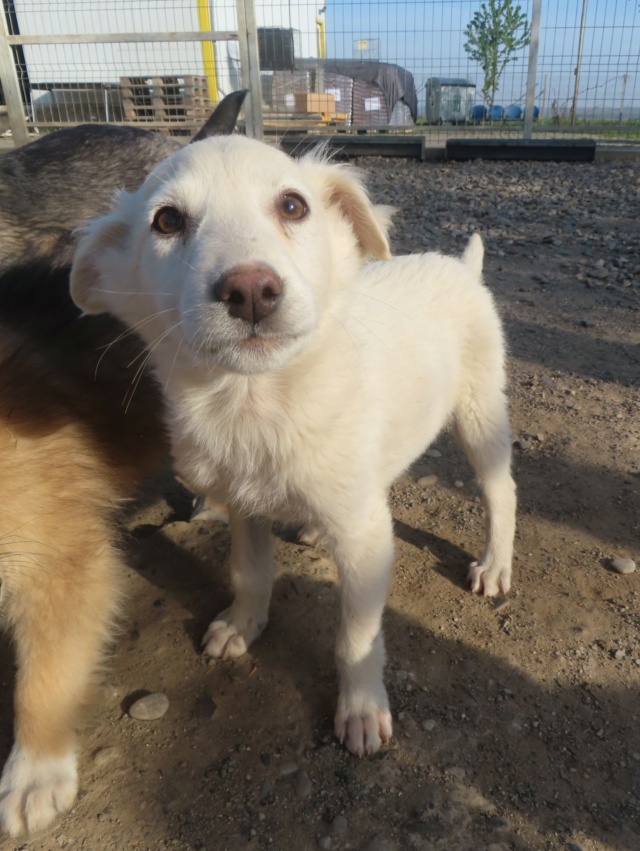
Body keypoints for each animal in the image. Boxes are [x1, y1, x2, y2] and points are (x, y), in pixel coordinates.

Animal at [72, 136, 516, 756]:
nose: (250, 290)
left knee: (502, 488)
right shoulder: (242, 504)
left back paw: (495, 563)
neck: (255, 404)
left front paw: (360, 709)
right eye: (167, 221)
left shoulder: (365, 541)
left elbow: (356, 635)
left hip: (480, 411)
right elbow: (250, 571)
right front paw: (242, 624)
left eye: (292, 206)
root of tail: (460, 267)